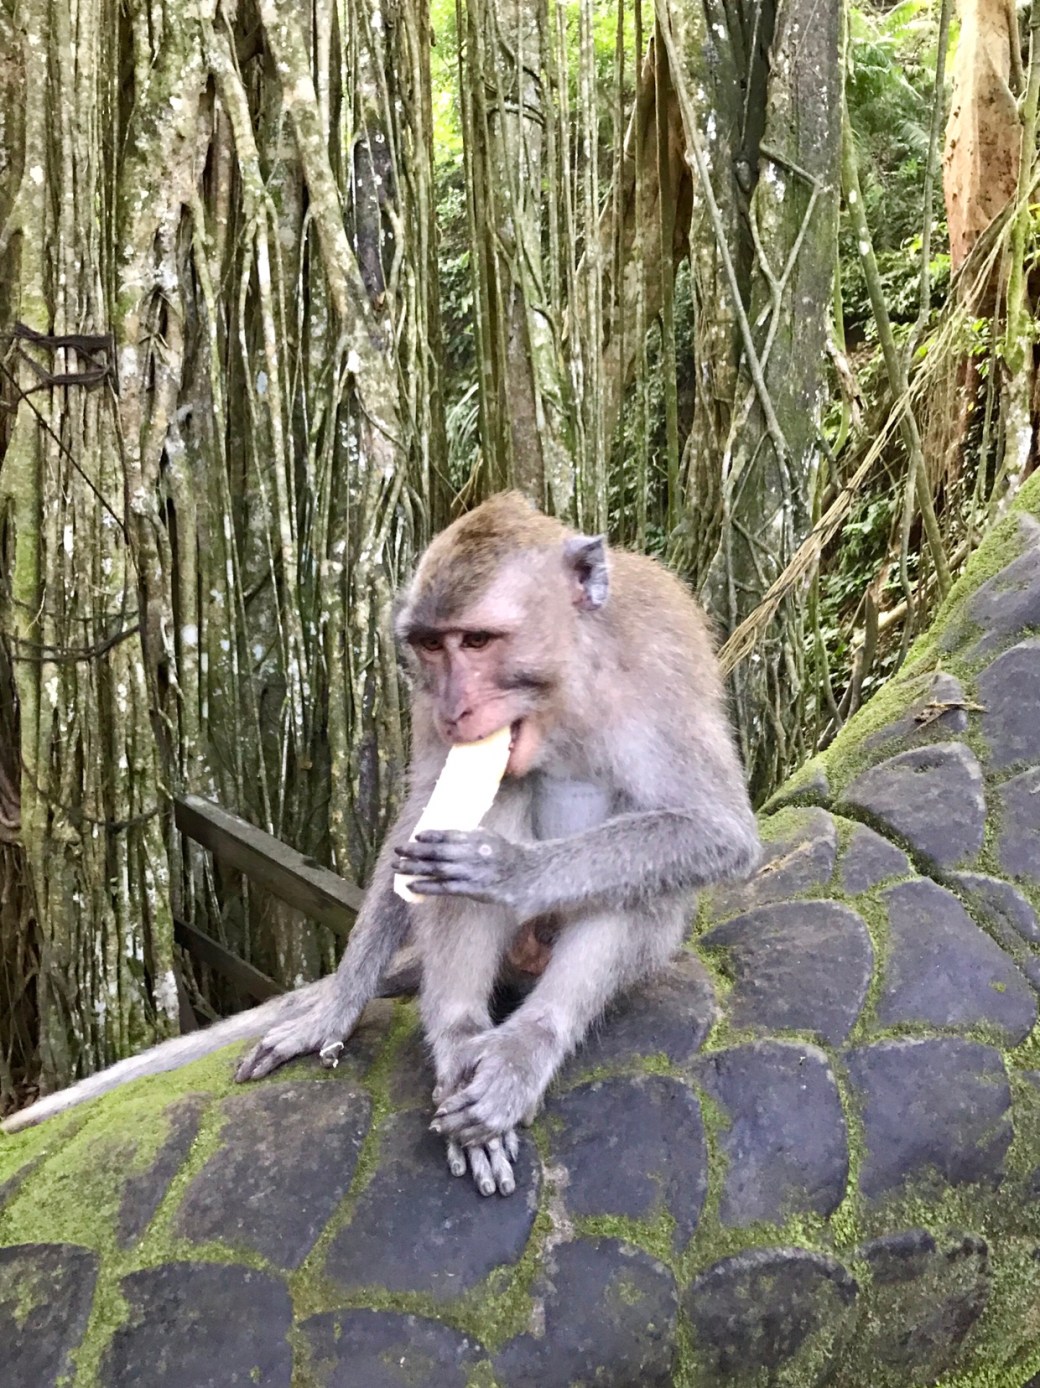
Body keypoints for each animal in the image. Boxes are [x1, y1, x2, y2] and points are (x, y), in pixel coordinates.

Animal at [3, 494, 760, 1201]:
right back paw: (458, 1038)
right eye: (430, 646)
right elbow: (417, 821)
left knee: (640, 883)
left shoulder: (660, 665)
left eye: (478, 640)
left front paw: (507, 869)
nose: (456, 709)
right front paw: (336, 1009)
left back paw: (521, 1051)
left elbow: (717, 832)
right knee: (495, 803)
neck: (562, 692)